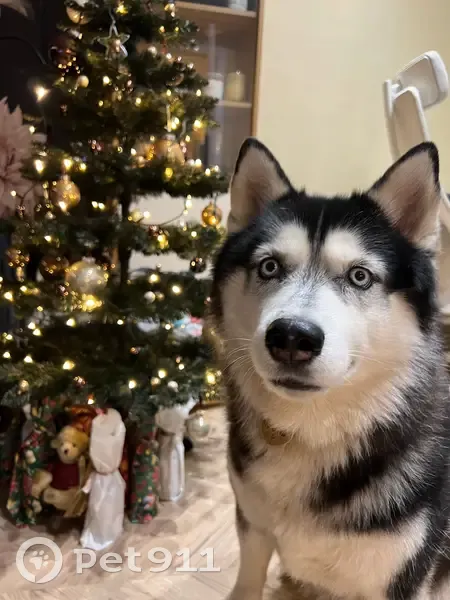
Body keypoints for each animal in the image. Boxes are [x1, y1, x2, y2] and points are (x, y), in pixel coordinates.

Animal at [210, 138, 450, 599]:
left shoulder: (403, 578)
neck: (315, 431)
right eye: (269, 266)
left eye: (359, 276)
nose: (291, 338)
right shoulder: (253, 531)